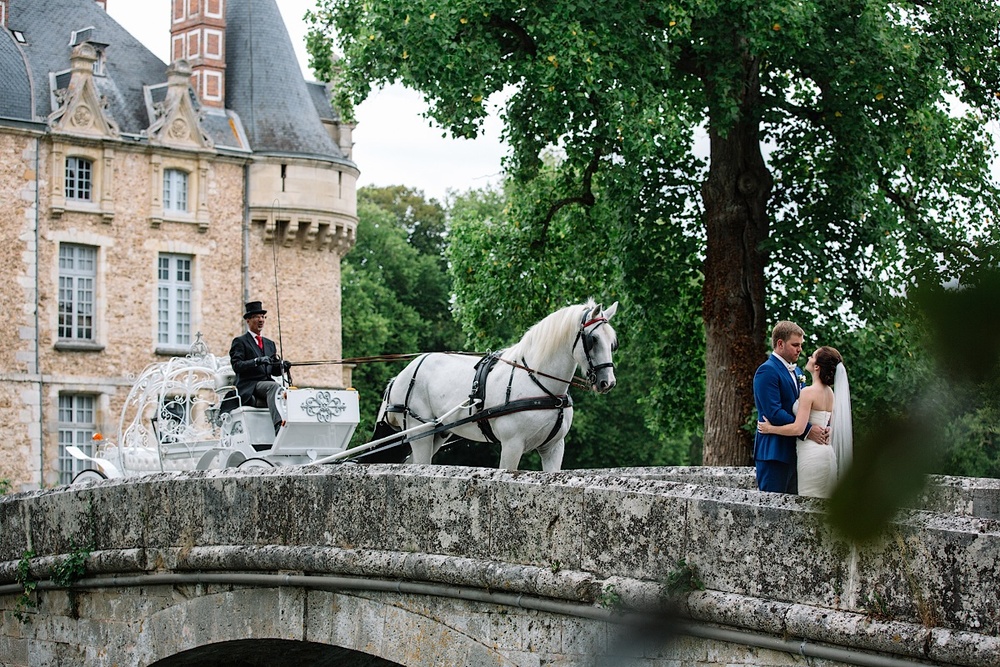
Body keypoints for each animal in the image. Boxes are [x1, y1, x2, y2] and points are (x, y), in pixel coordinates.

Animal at [376, 300, 616, 472]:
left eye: (613, 342)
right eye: (593, 339)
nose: (608, 382)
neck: (541, 385)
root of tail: (400, 376)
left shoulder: (554, 448)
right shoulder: (512, 445)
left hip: (437, 433)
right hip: (421, 431)